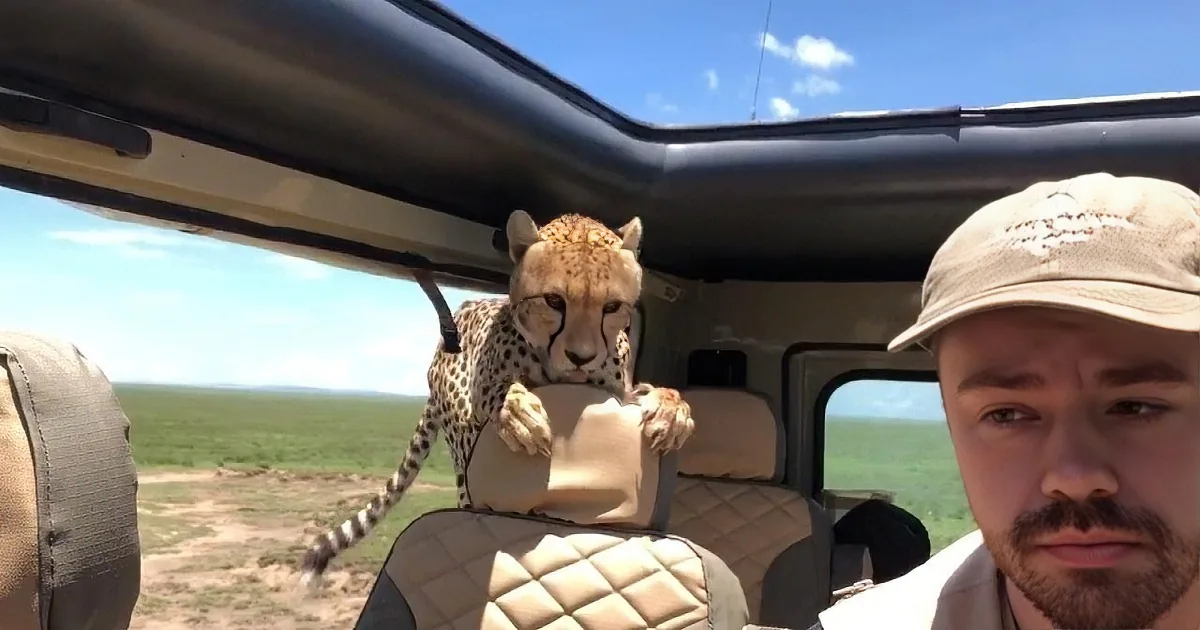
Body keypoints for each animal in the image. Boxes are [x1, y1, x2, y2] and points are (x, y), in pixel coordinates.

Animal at [298, 209, 695, 591]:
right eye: (554, 301)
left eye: (612, 307)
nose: (581, 357)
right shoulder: (481, 396)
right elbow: (498, 390)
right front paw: (518, 415)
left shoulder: (619, 392)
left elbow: (652, 393)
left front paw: (672, 413)